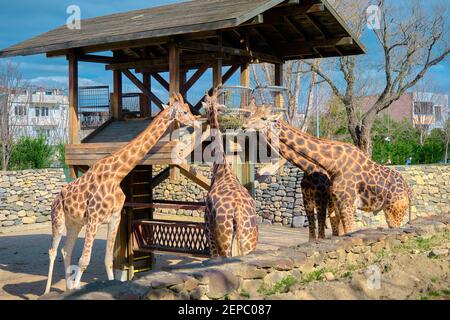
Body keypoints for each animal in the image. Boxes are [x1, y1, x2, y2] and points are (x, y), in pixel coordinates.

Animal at [44, 92, 198, 292]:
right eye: (185, 111)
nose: (196, 122)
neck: (116, 175)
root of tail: (56, 198)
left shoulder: (115, 216)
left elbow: (108, 259)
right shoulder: (93, 218)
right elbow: (85, 260)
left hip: (74, 224)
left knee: (66, 250)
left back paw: (69, 289)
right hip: (58, 218)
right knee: (53, 250)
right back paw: (47, 291)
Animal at [202, 92, 258, 258]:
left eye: (206, 106)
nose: (203, 118)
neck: (222, 167)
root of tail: (238, 212)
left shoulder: (208, 228)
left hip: (223, 237)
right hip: (249, 239)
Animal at [243, 107, 412, 235]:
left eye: (264, 118)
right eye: (252, 113)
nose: (244, 126)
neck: (332, 164)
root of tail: (408, 188)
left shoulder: (345, 204)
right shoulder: (331, 203)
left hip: (395, 209)